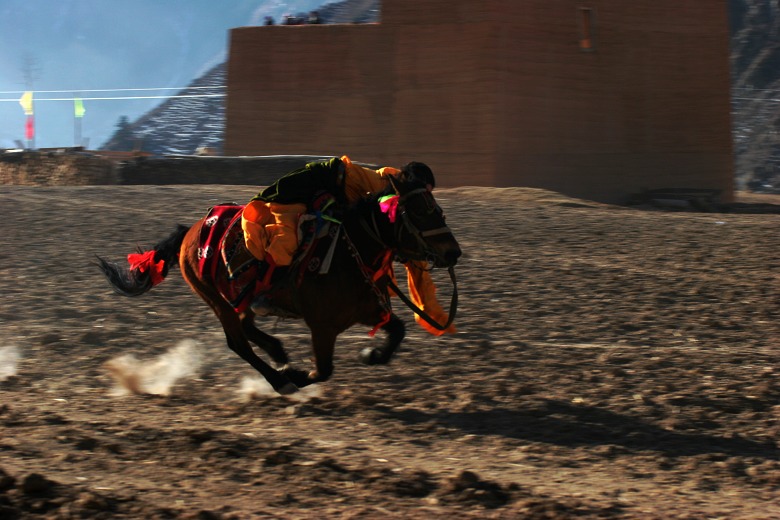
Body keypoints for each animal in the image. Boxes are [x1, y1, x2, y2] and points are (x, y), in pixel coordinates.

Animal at [100, 178, 460, 394]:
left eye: (439, 210)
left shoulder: (369, 311)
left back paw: (278, 353)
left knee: (247, 326)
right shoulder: (322, 326)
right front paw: (298, 375)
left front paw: (372, 355)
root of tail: (190, 231)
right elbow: (324, 370)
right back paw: (280, 379)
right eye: (420, 211)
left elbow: (398, 331)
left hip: (240, 297)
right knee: (238, 342)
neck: (351, 251)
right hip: (215, 299)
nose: (453, 252)